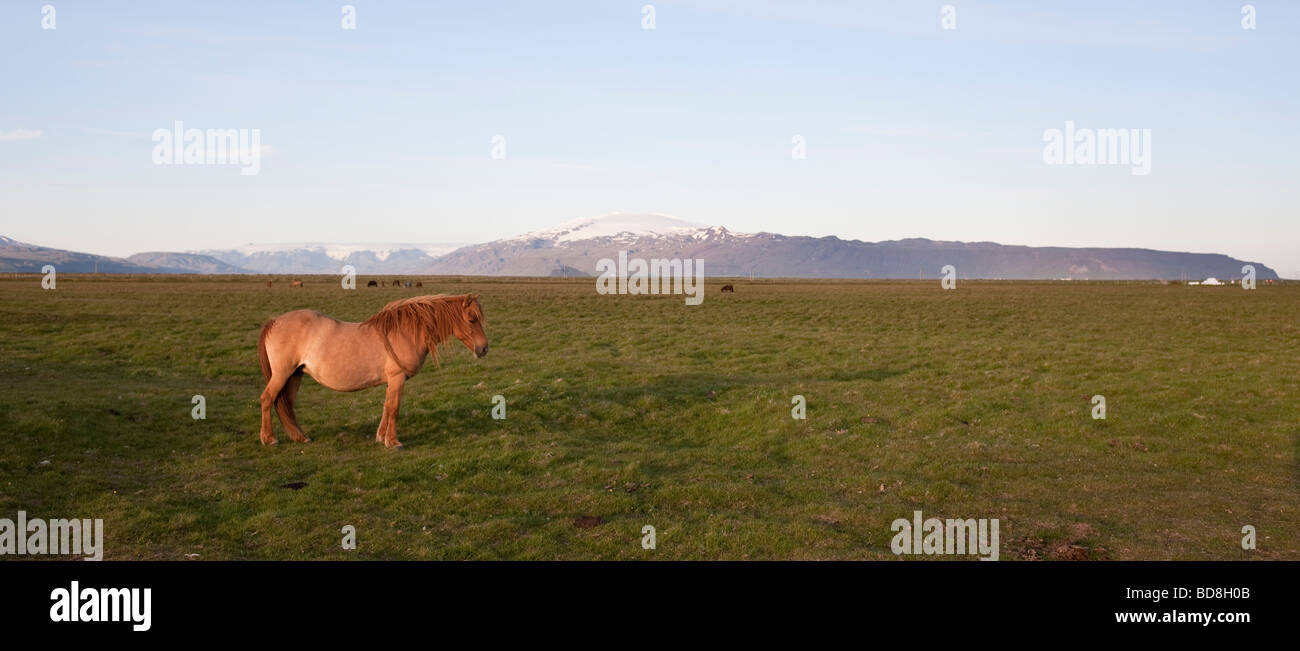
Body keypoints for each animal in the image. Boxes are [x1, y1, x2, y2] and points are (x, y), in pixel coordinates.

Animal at [256, 293, 488, 446]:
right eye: (471, 319)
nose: (484, 348)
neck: (405, 332)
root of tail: (274, 322)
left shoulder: (392, 381)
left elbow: (386, 406)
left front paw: (381, 436)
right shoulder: (397, 378)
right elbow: (394, 407)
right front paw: (393, 442)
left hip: (295, 375)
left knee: (286, 404)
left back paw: (300, 437)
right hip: (283, 374)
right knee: (267, 399)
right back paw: (269, 439)